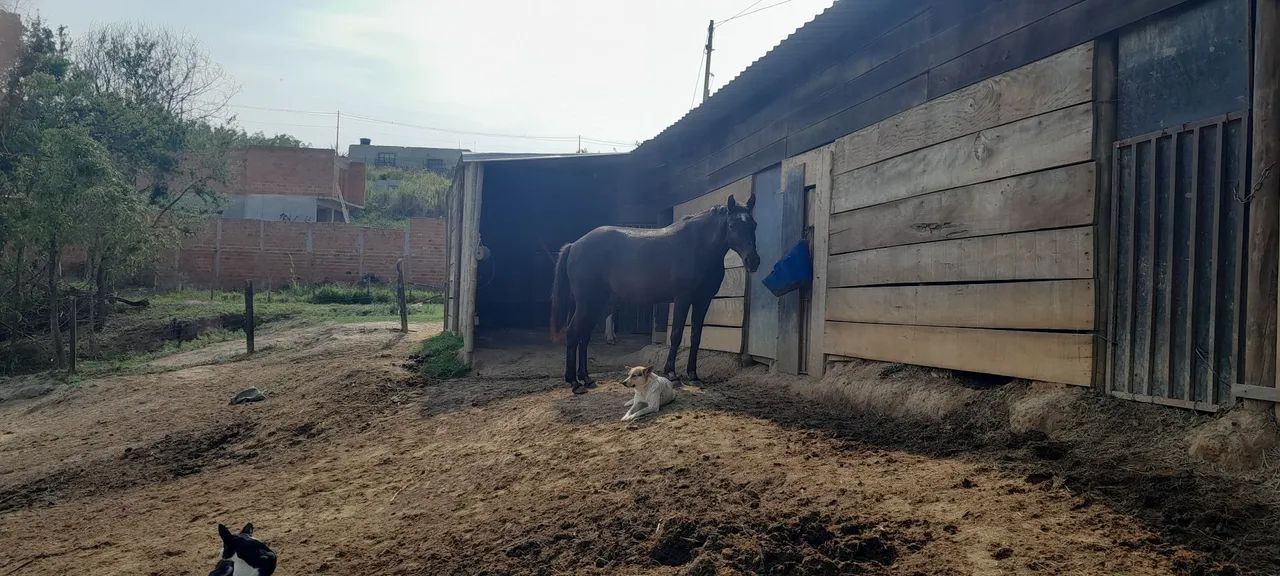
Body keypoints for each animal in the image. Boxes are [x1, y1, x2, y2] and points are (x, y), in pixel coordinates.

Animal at [551, 194, 760, 394]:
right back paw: (573, 382)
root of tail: (574, 245)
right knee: (573, 333)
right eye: (732, 225)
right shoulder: (682, 299)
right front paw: (672, 374)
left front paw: (693, 375)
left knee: (583, 336)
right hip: (588, 302)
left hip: (596, 303)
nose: (753, 261)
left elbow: (696, 337)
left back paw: (586, 378)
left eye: (754, 225)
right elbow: (676, 335)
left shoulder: (703, 301)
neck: (696, 247)